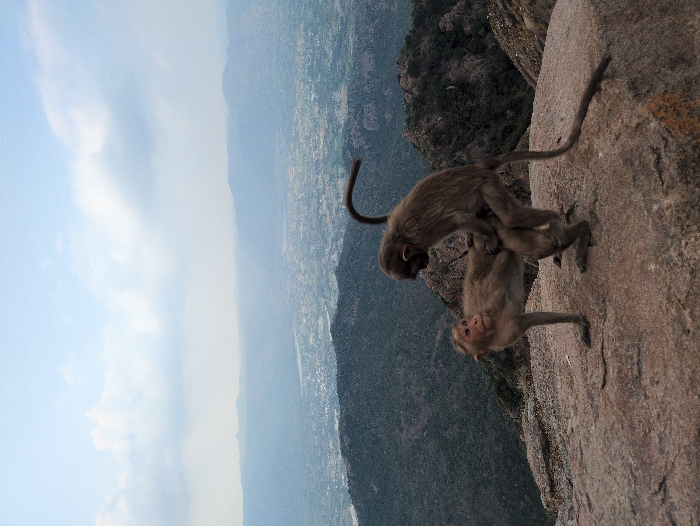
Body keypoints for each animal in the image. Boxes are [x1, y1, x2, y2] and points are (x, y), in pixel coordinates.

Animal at [345, 55, 610, 281]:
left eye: (413, 267)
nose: (425, 264)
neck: (402, 237)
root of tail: (477, 167)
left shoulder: (433, 229)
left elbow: (461, 219)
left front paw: (488, 236)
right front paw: (476, 237)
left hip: (487, 184)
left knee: (511, 216)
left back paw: (554, 221)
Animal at [451, 228, 591, 361]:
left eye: (465, 325)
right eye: (467, 332)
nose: (476, 319)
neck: (494, 330)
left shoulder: (492, 305)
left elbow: (504, 256)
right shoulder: (509, 334)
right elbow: (534, 319)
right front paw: (579, 323)